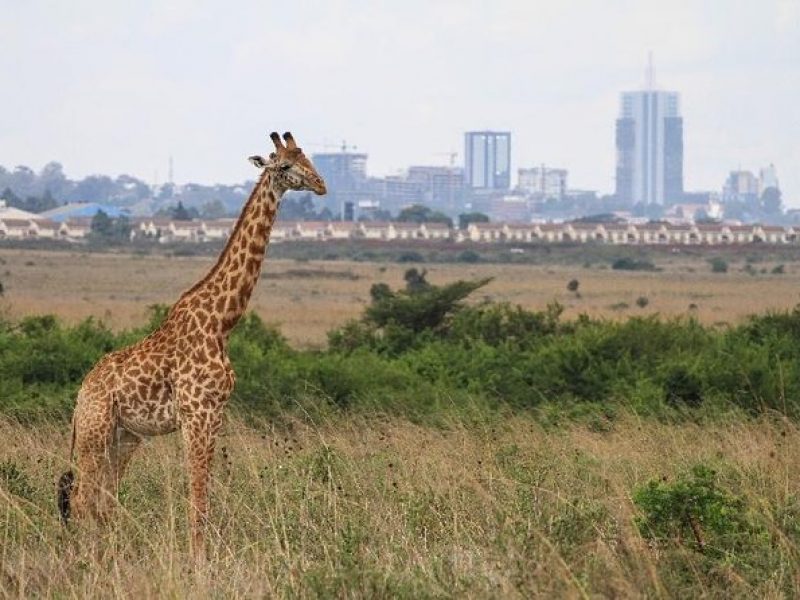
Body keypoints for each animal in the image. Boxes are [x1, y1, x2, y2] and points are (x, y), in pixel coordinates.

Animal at [57, 131, 324, 556]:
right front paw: (199, 560)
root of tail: (81, 395)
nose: (321, 185)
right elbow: (198, 497)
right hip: (94, 433)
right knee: (83, 499)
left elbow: (204, 492)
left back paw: (108, 554)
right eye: (284, 165)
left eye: (308, 159)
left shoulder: (216, 414)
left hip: (124, 437)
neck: (221, 322)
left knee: (103, 499)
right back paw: (87, 559)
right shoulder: (198, 413)